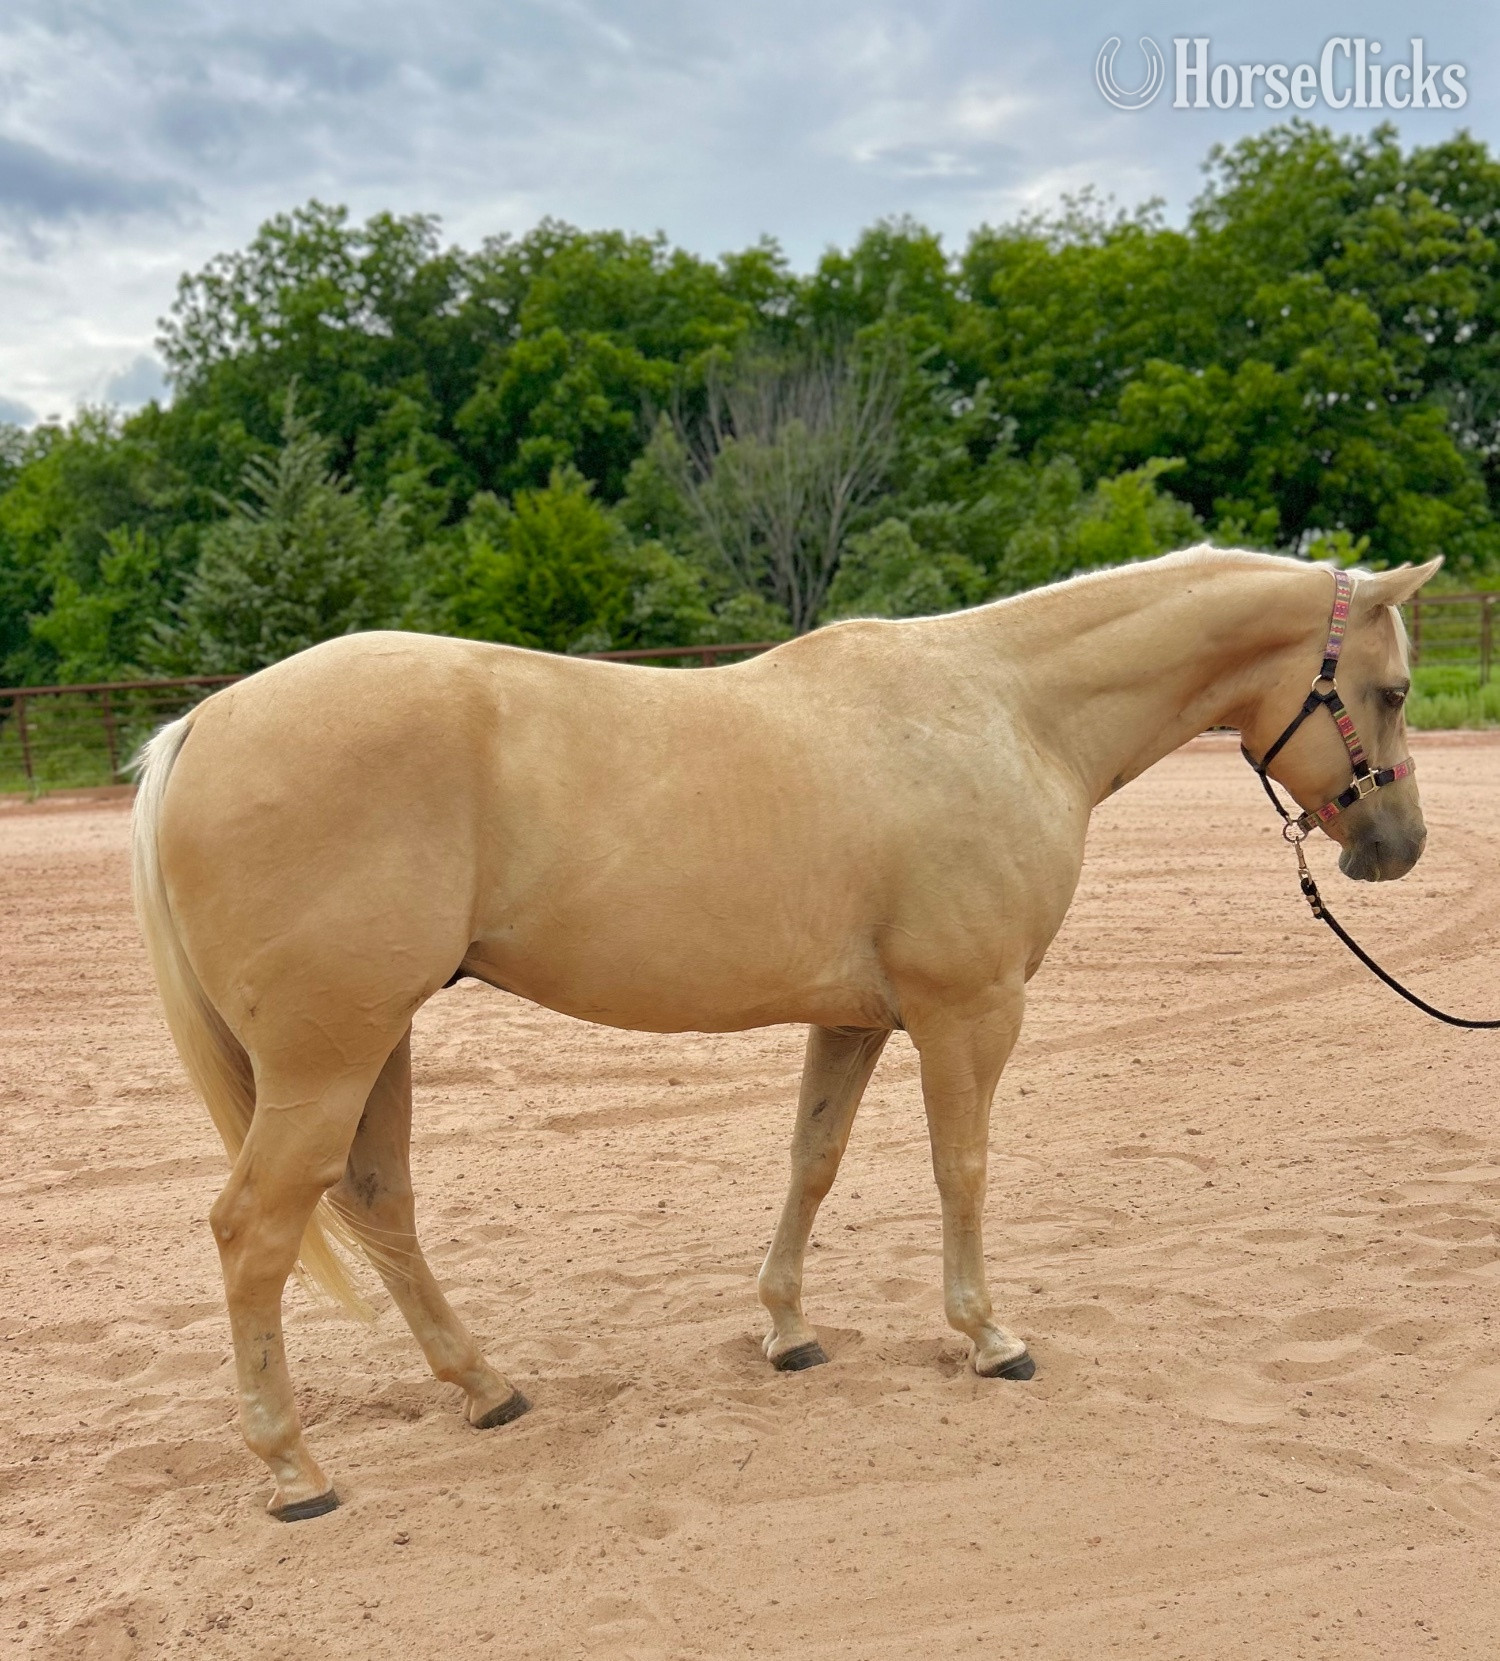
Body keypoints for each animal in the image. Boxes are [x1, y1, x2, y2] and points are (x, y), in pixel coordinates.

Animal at [131, 545, 1439, 1519]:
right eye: (1394, 689)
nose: (1399, 848)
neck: (1007, 710)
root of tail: (207, 724)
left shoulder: (856, 1019)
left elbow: (813, 1161)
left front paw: (789, 1330)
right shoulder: (970, 1009)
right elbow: (961, 1167)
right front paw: (988, 1336)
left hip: (374, 1045)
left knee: (379, 1203)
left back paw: (485, 1387)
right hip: (327, 1057)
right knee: (253, 1230)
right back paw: (296, 1470)